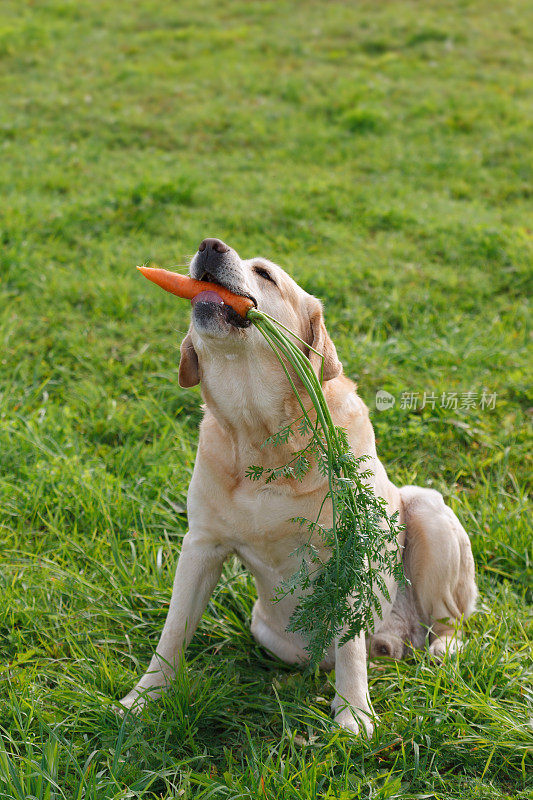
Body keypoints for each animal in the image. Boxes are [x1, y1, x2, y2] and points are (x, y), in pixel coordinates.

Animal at [119, 239, 474, 736]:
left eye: (265, 274)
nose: (210, 246)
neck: (263, 434)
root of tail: (397, 636)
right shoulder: (200, 546)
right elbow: (172, 634)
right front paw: (142, 700)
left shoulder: (349, 550)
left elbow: (349, 646)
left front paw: (353, 717)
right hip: (269, 632)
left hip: (428, 510)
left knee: (447, 622)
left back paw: (439, 646)